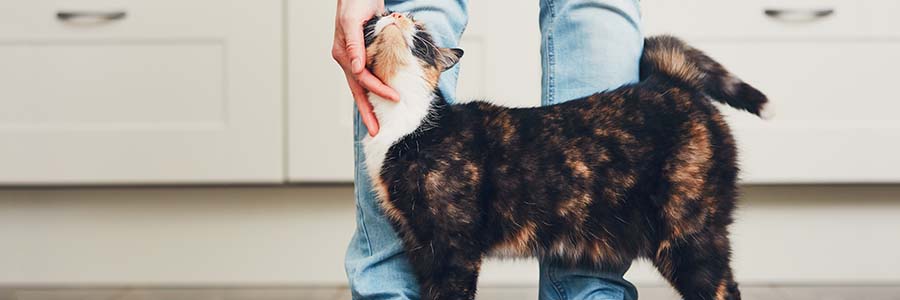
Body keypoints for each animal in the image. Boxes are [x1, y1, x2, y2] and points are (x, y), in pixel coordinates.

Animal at [362, 11, 768, 300]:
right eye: (373, 22)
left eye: (422, 33)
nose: (394, 14)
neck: (407, 123)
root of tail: (670, 81)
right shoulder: (419, 244)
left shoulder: (453, 246)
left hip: (689, 234)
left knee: (722, 288)